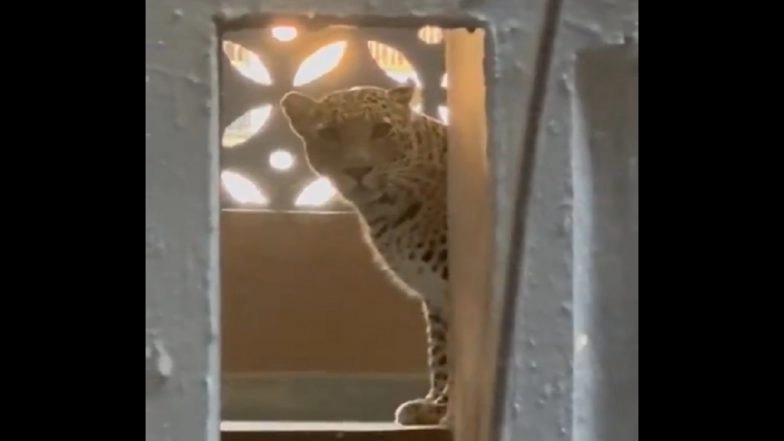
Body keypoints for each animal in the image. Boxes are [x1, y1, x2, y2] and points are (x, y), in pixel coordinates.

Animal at [281, 84, 452, 427]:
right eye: (329, 133)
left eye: (382, 129)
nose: (358, 170)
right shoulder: (435, 295)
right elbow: (439, 352)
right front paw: (431, 406)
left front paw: (447, 407)